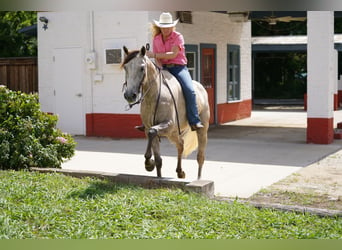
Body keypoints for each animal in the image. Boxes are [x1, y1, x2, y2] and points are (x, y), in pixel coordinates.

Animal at [121, 46, 210, 180]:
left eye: (141, 68)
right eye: (125, 67)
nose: (129, 95)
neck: (154, 95)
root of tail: (202, 88)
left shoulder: (168, 124)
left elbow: (153, 132)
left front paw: (149, 163)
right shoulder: (149, 128)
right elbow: (158, 159)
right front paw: (152, 166)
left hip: (201, 131)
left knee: (200, 157)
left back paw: (198, 179)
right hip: (172, 133)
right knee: (181, 144)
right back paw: (180, 172)